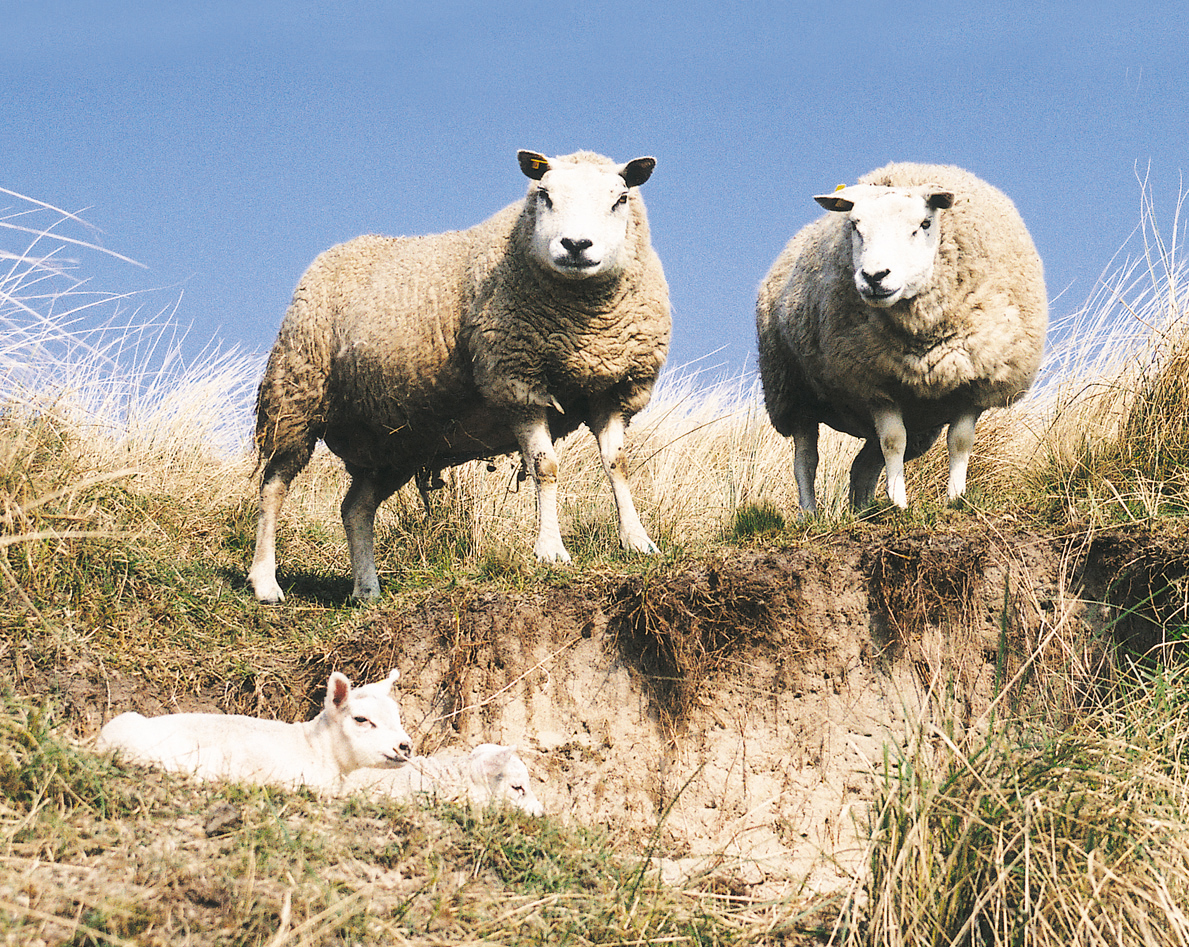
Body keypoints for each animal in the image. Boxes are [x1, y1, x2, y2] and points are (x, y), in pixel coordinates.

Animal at [249, 148, 670, 606]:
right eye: (544, 194)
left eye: (621, 199)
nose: (576, 246)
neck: (584, 325)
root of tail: (334, 252)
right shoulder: (517, 382)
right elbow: (545, 467)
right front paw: (551, 551)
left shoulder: (613, 387)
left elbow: (618, 464)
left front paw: (638, 542)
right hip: (295, 393)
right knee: (273, 486)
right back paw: (265, 582)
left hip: (392, 441)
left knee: (355, 508)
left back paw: (367, 589)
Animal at [756, 164, 1046, 518]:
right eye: (855, 225)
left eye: (923, 224)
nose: (875, 276)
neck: (923, 337)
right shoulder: (874, 382)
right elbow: (893, 441)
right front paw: (899, 504)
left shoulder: (974, 380)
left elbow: (960, 442)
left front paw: (955, 499)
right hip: (792, 392)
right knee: (806, 461)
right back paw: (810, 514)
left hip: (919, 420)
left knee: (863, 465)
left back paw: (864, 512)